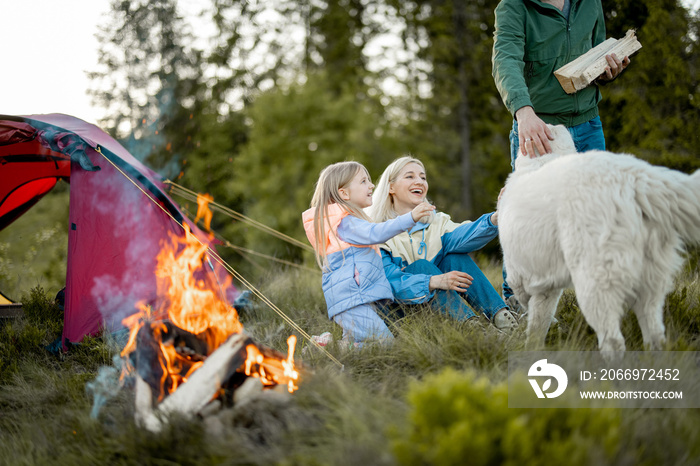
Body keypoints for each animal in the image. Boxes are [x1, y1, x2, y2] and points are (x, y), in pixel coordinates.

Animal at [498, 127, 700, 360]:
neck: (541, 162)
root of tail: (634, 177)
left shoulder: (519, 272)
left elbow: (525, 301)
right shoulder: (547, 286)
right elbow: (540, 318)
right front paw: (535, 347)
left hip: (594, 281)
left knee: (613, 340)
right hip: (649, 277)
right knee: (655, 334)